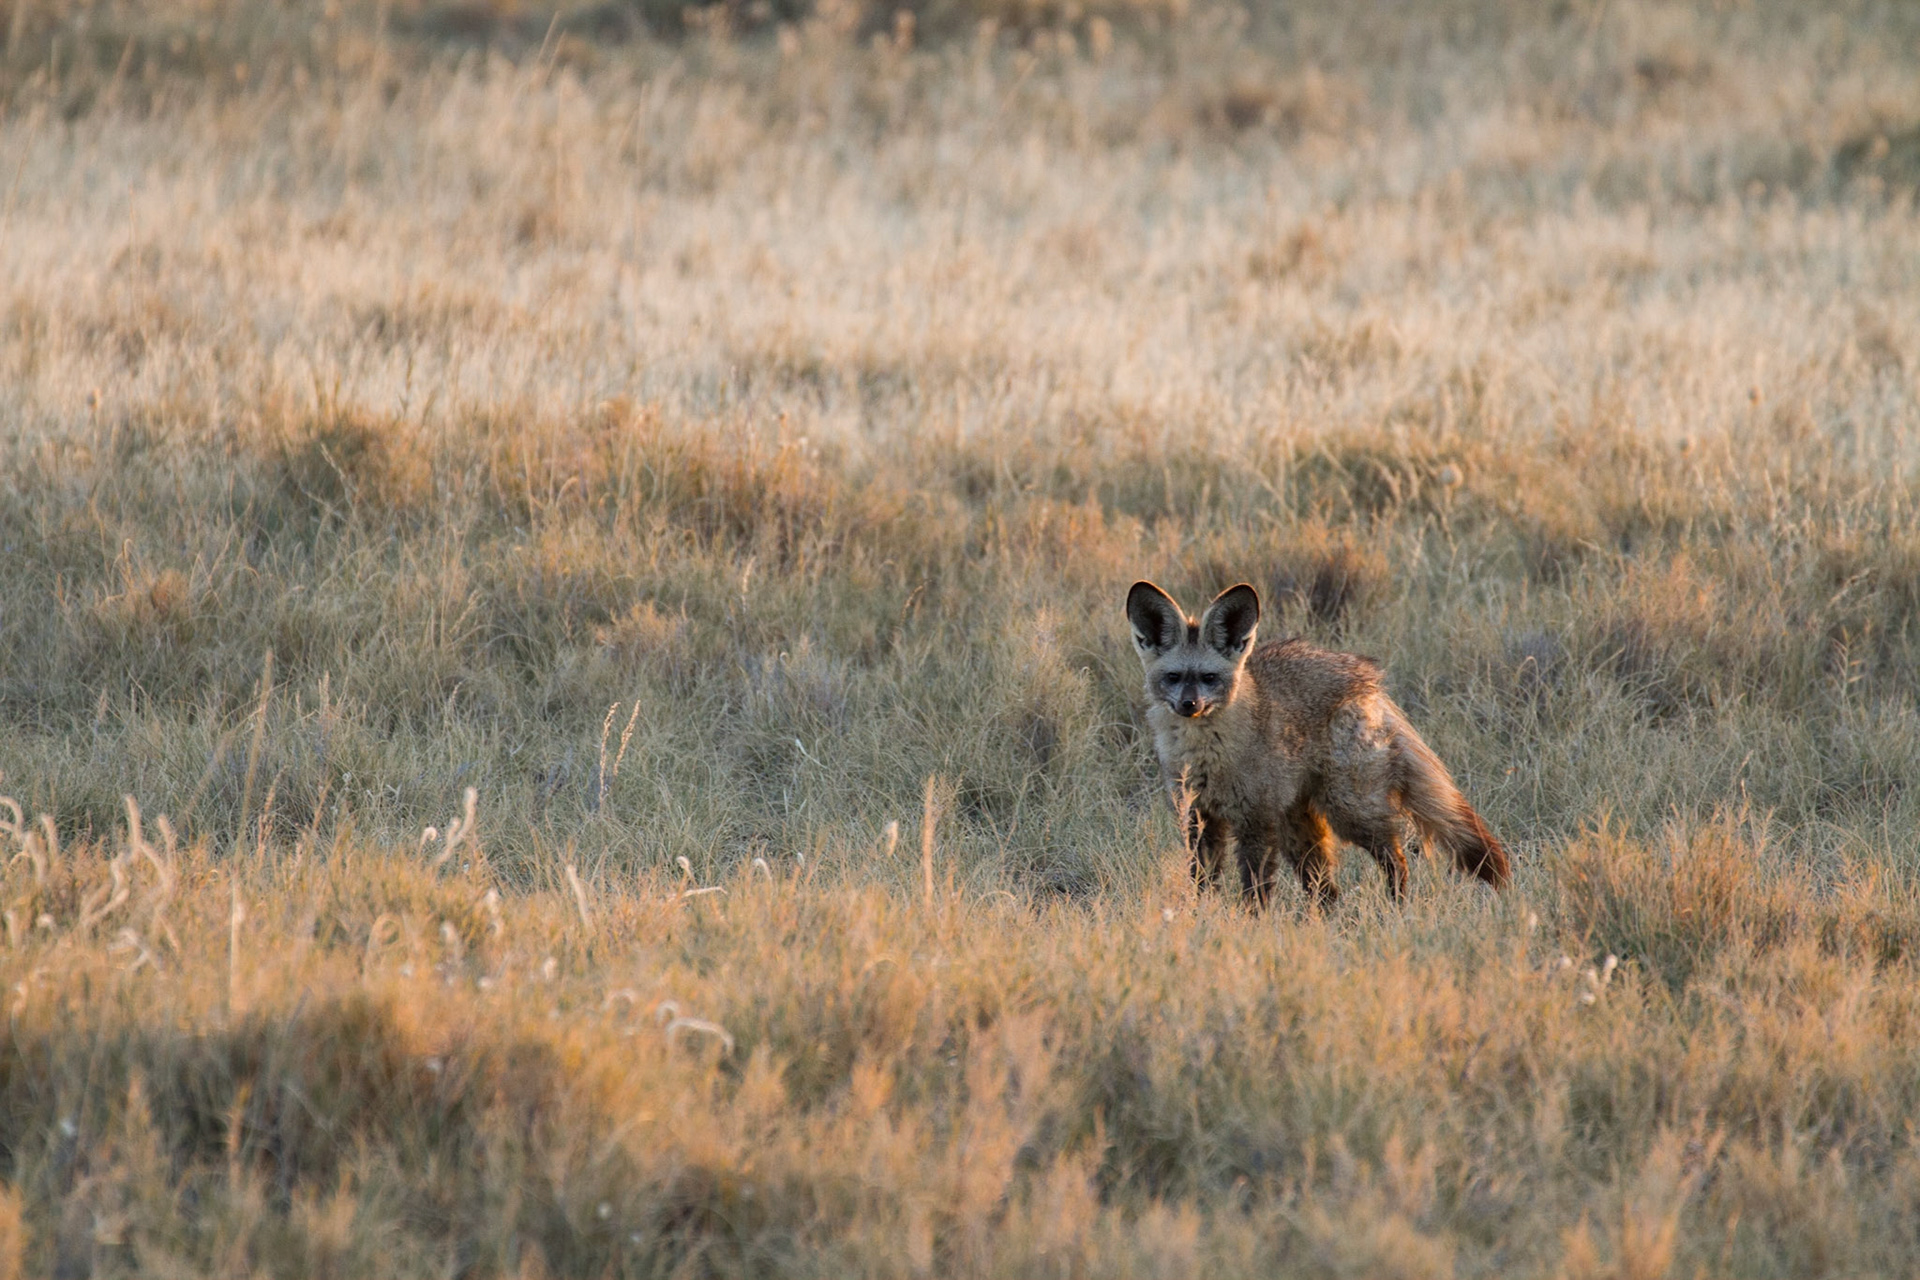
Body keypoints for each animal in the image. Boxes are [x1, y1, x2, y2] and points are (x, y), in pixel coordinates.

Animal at [1126, 580, 1510, 906]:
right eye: (1173, 677)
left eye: (1208, 678)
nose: (1189, 705)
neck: (1206, 758)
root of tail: (1369, 679)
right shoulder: (1198, 819)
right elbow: (1203, 883)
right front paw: (1203, 917)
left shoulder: (1256, 820)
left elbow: (1255, 889)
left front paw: (1252, 926)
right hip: (1300, 832)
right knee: (1328, 893)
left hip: (1349, 810)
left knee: (1396, 857)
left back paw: (1397, 909)